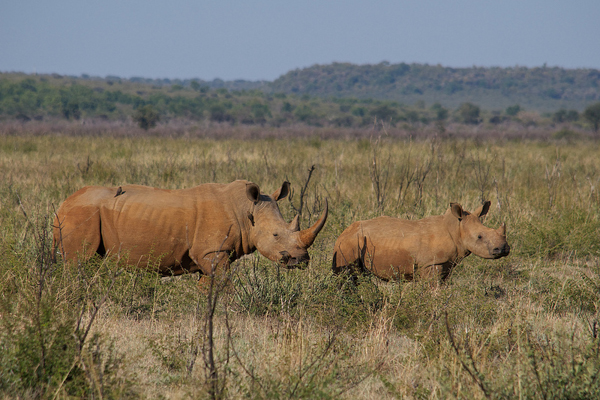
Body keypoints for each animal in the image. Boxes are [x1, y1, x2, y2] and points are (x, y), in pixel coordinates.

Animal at [52, 180, 328, 276]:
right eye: (275, 235)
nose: (302, 261)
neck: (246, 209)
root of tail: (63, 203)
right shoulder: (212, 252)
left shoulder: (211, 255)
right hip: (82, 214)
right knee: (78, 262)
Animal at [330, 200, 508, 282]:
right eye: (479, 237)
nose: (504, 249)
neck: (456, 229)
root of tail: (343, 233)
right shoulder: (431, 263)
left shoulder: (446, 264)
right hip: (348, 244)